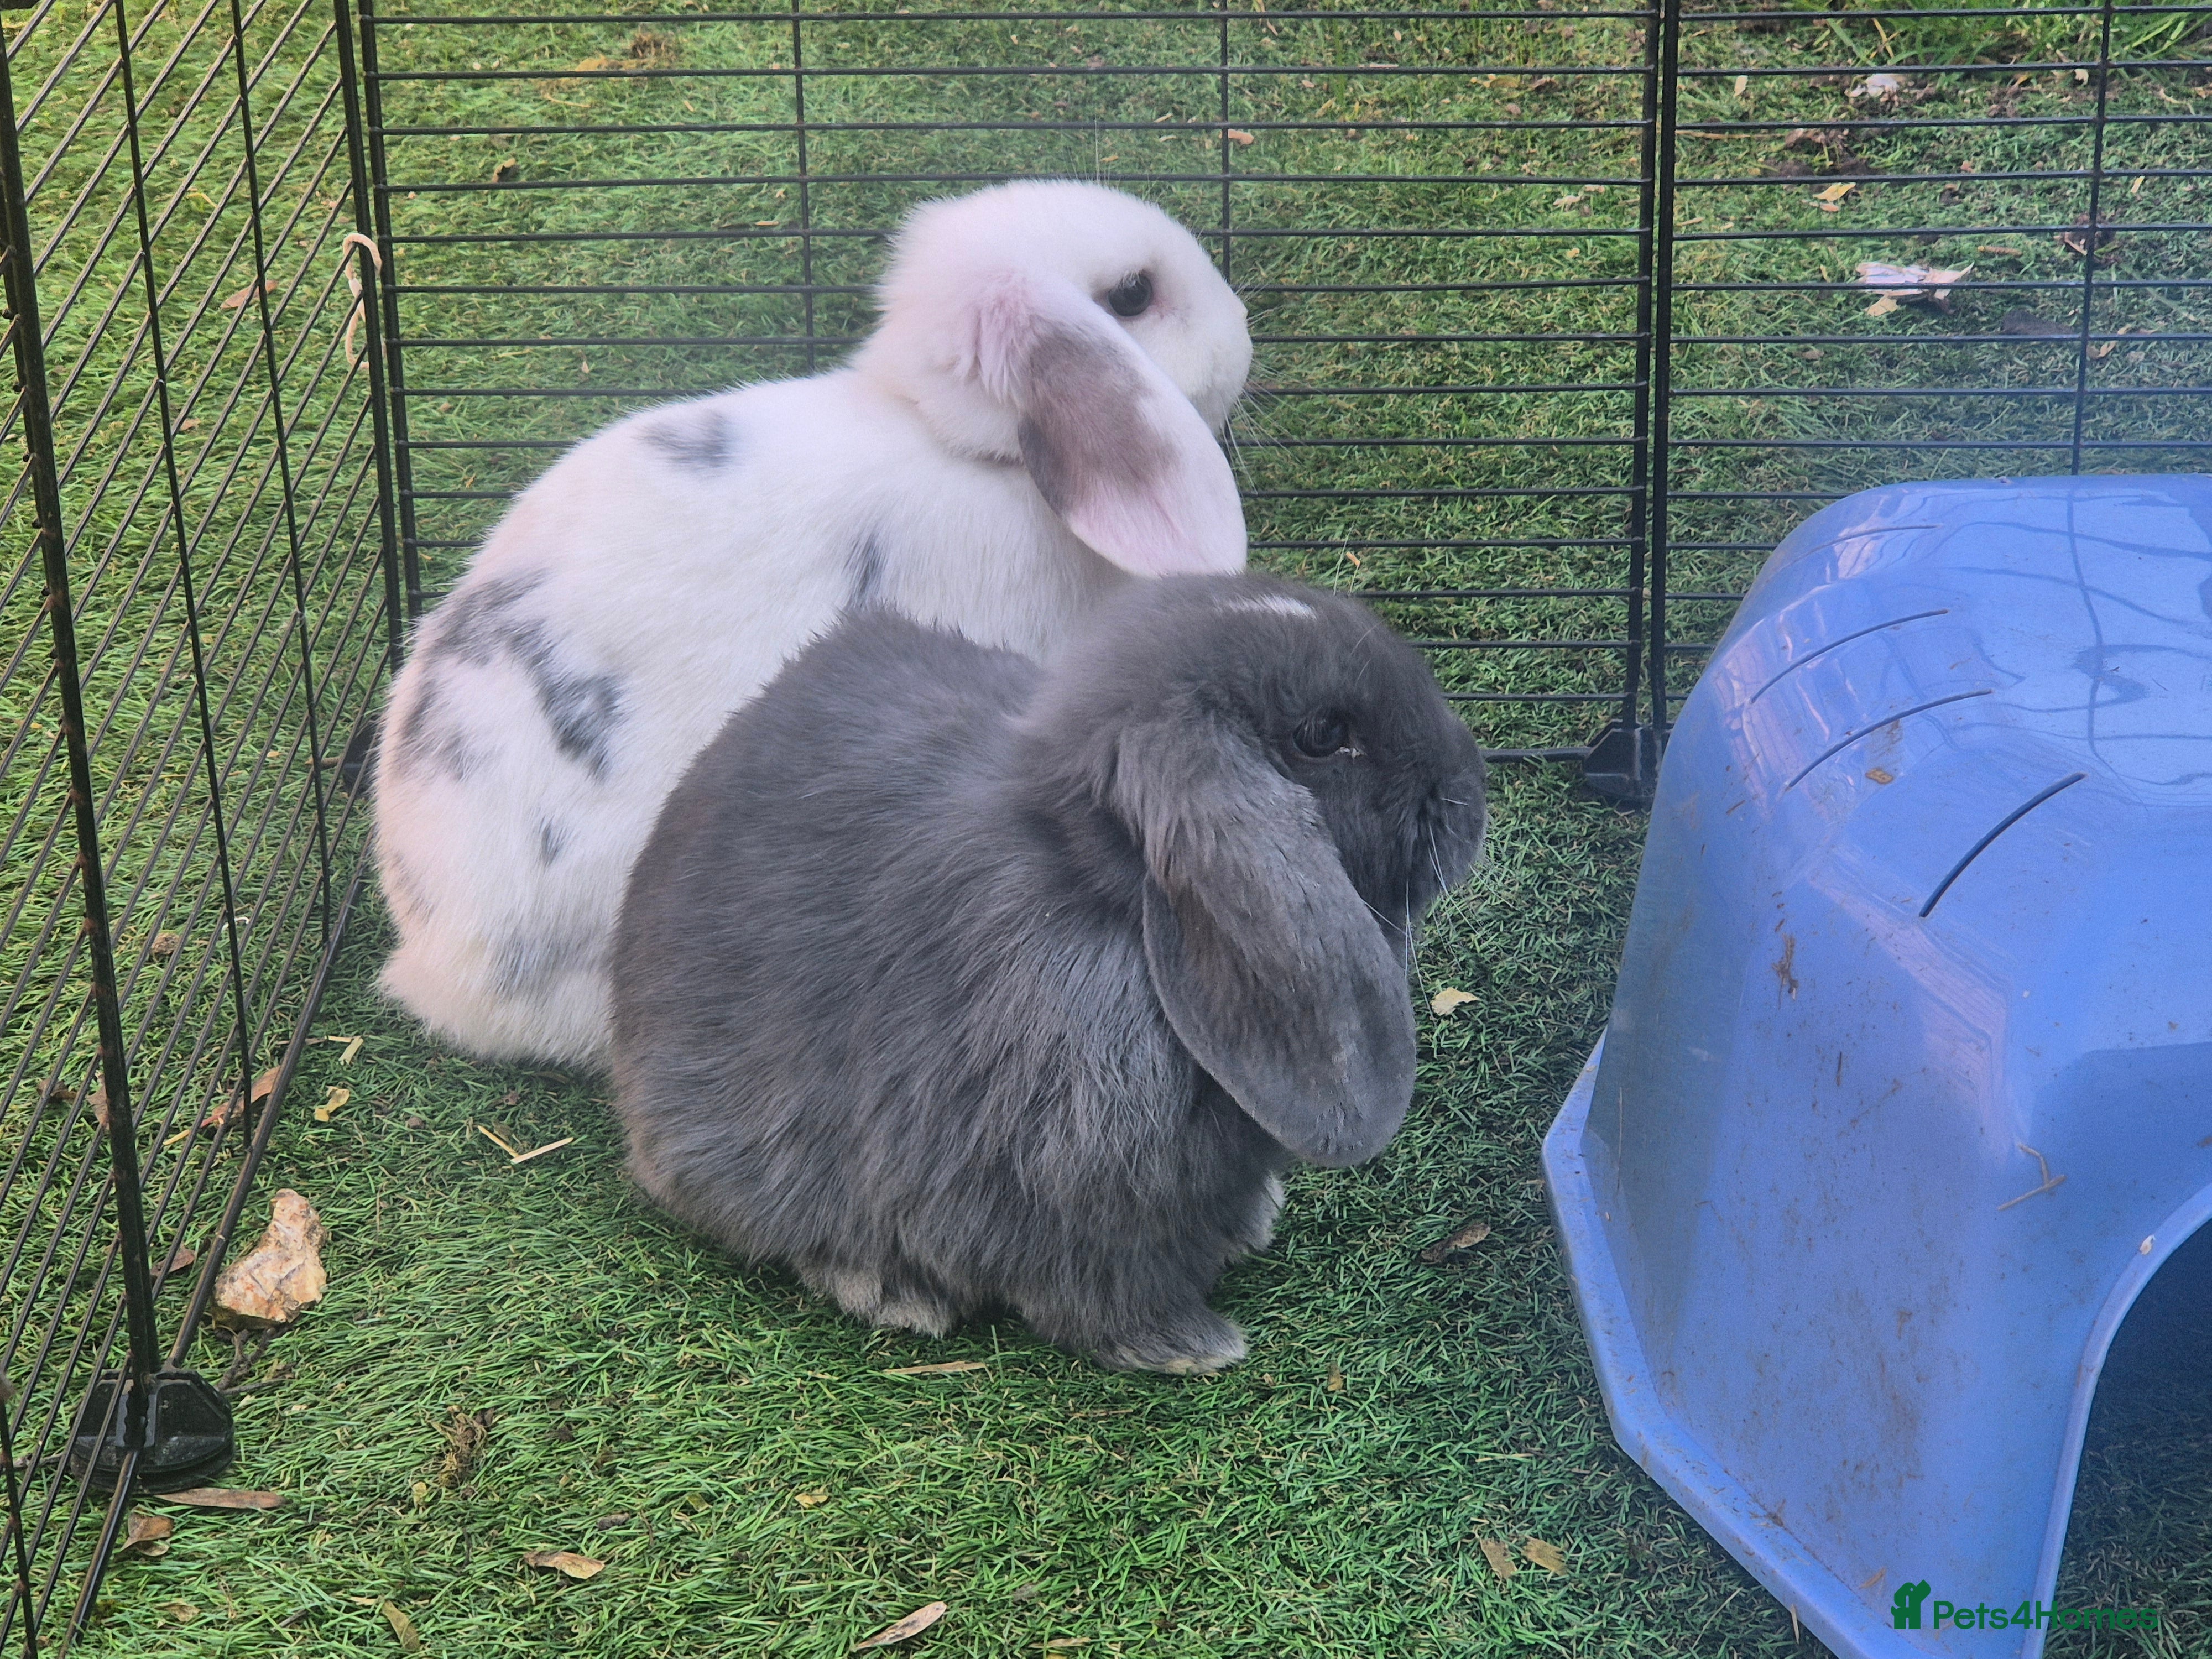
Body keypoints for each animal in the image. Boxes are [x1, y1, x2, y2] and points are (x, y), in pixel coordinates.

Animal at [609, 573, 1489, 1374]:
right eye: (1322, 733)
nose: (1469, 784)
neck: (1106, 902)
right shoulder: (1077, 1203)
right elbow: (1098, 1295)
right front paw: (1191, 1348)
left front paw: (1251, 1226)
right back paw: (892, 1292)